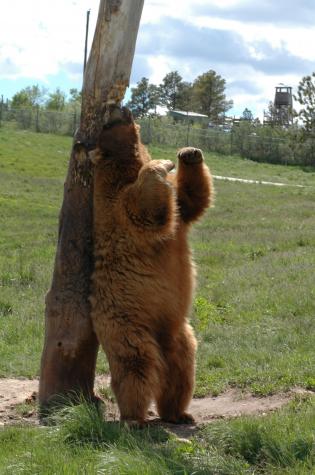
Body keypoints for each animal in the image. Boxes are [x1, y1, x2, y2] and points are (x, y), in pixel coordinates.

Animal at [89, 109, 214, 428]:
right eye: (109, 124)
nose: (123, 109)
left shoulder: (177, 209)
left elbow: (189, 201)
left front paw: (189, 153)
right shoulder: (115, 204)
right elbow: (142, 206)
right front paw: (161, 163)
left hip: (181, 335)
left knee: (181, 371)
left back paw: (179, 413)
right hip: (125, 325)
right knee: (136, 368)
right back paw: (135, 417)